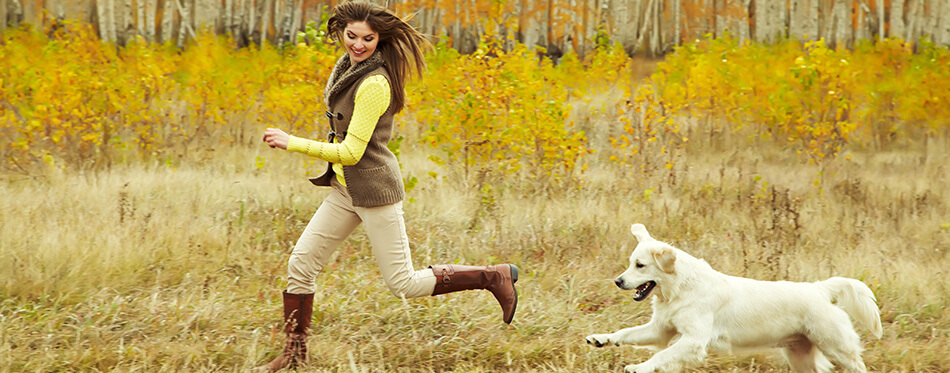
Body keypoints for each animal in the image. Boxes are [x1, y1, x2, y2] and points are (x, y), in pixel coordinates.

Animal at [588, 222, 884, 370]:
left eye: (640, 265)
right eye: (630, 263)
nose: (618, 281)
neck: (680, 290)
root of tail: (820, 288)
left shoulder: (694, 340)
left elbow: (663, 357)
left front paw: (638, 368)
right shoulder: (660, 329)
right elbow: (625, 333)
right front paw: (601, 339)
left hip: (838, 348)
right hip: (800, 356)